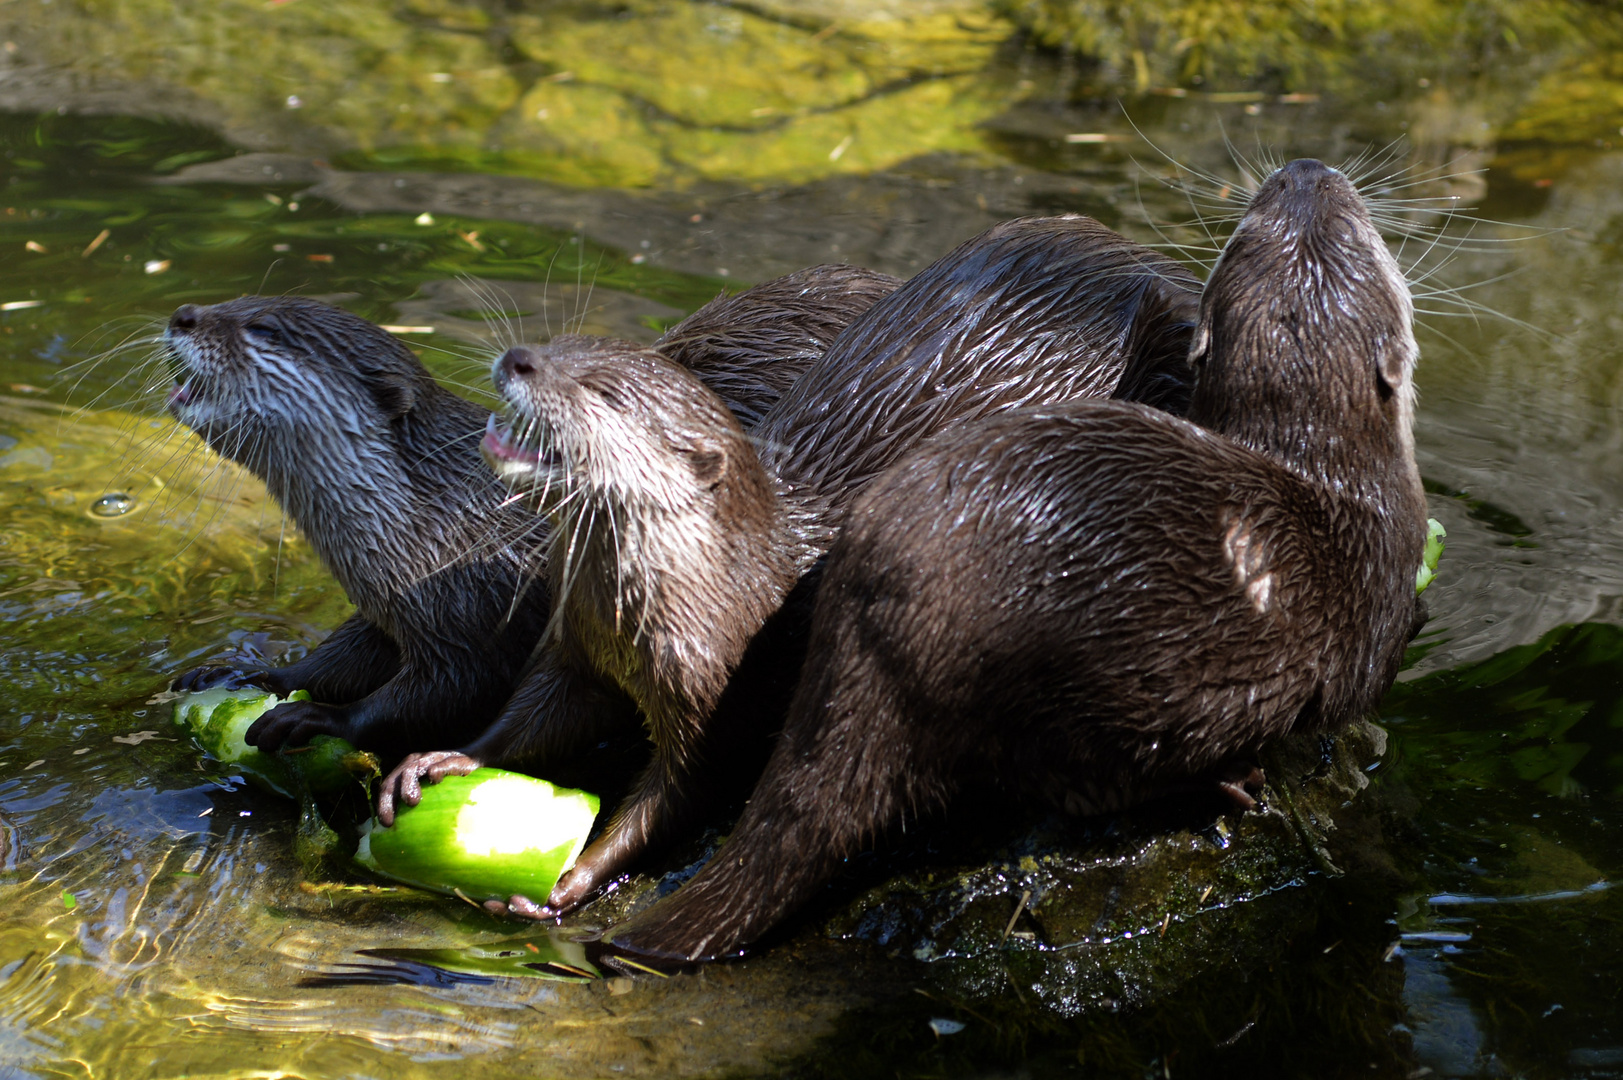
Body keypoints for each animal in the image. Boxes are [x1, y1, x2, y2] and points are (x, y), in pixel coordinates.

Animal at [167, 266, 902, 753]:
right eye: (240, 297)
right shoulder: (389, 610)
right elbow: (336, 659)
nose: (181, 315)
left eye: (263, 327)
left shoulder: (479, 611)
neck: (437, 525)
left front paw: (321, 720)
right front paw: (247, 672)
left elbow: (441, 694)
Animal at [376, 214, 1207, 915]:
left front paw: (570, 881)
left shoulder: (721, 694)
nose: (518, 357)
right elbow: (532, 717)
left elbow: (679, 795)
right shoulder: (575, 645)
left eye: (601, 392)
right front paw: (440, 759)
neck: (703, 595)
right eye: (562, 347)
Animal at [603, 158, 1428, 961]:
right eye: (1362, 237)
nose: (1305, 167)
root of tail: (878, 640)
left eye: (1267, 224)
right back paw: (1222, 781)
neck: (1319, 462)